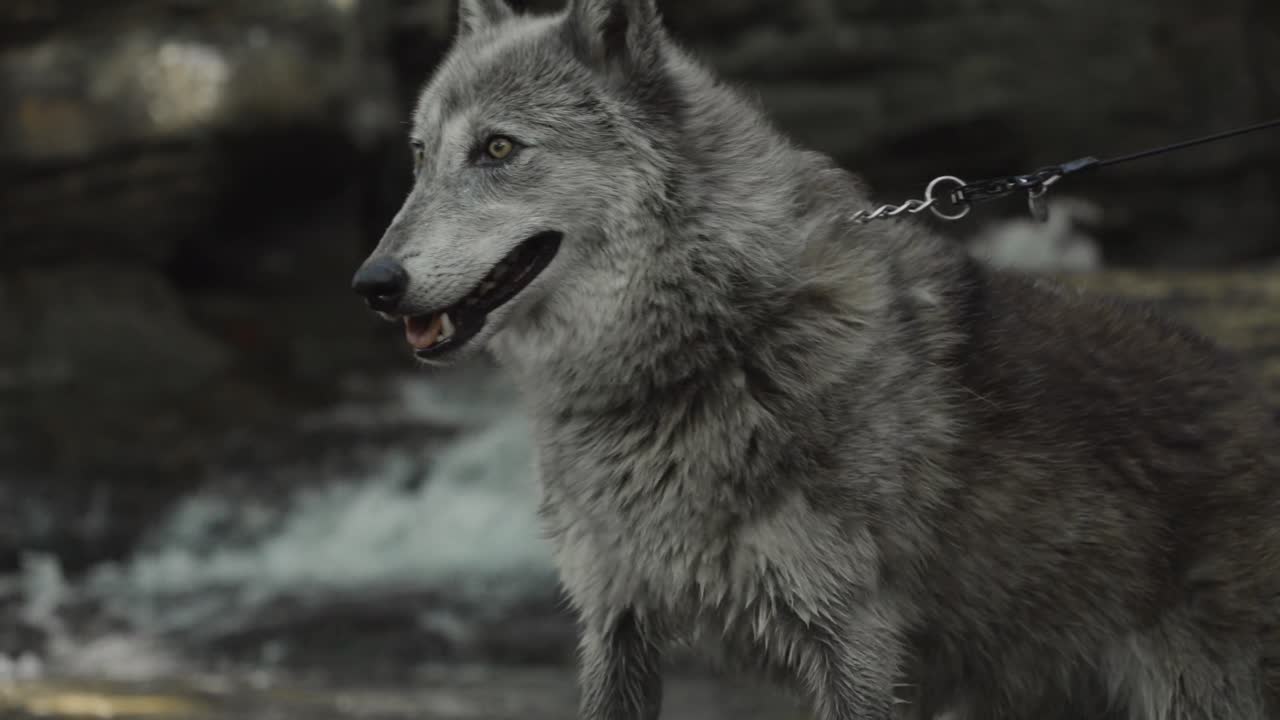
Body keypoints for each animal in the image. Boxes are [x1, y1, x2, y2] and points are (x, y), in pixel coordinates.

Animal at [350, 0, 1280, 717]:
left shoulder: (854, 640)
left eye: (500, 149)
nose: (372, 283)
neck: (712, 343)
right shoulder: (618, 623)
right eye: (421, 154)